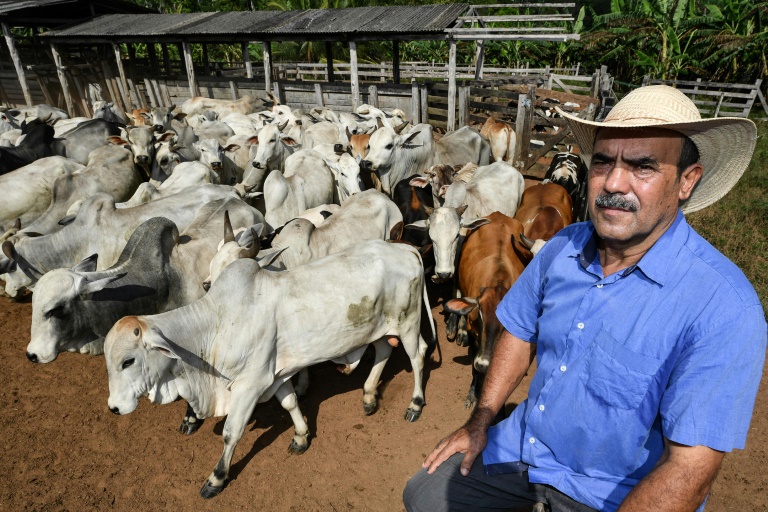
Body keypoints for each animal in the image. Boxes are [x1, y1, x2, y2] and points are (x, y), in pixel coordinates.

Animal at [106, 238, 432, 498]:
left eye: (128, 361)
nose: (114, 408)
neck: (215, 324)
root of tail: (404, 248)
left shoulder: (250, 384)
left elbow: (231, 432)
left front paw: (216, 478)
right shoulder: (275, 374)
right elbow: (290, 403)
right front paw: (301, 436)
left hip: (408, 322)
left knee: (418, 356)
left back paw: (415, 404)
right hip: (379, 329)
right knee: (383, 350)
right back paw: (368, 396)